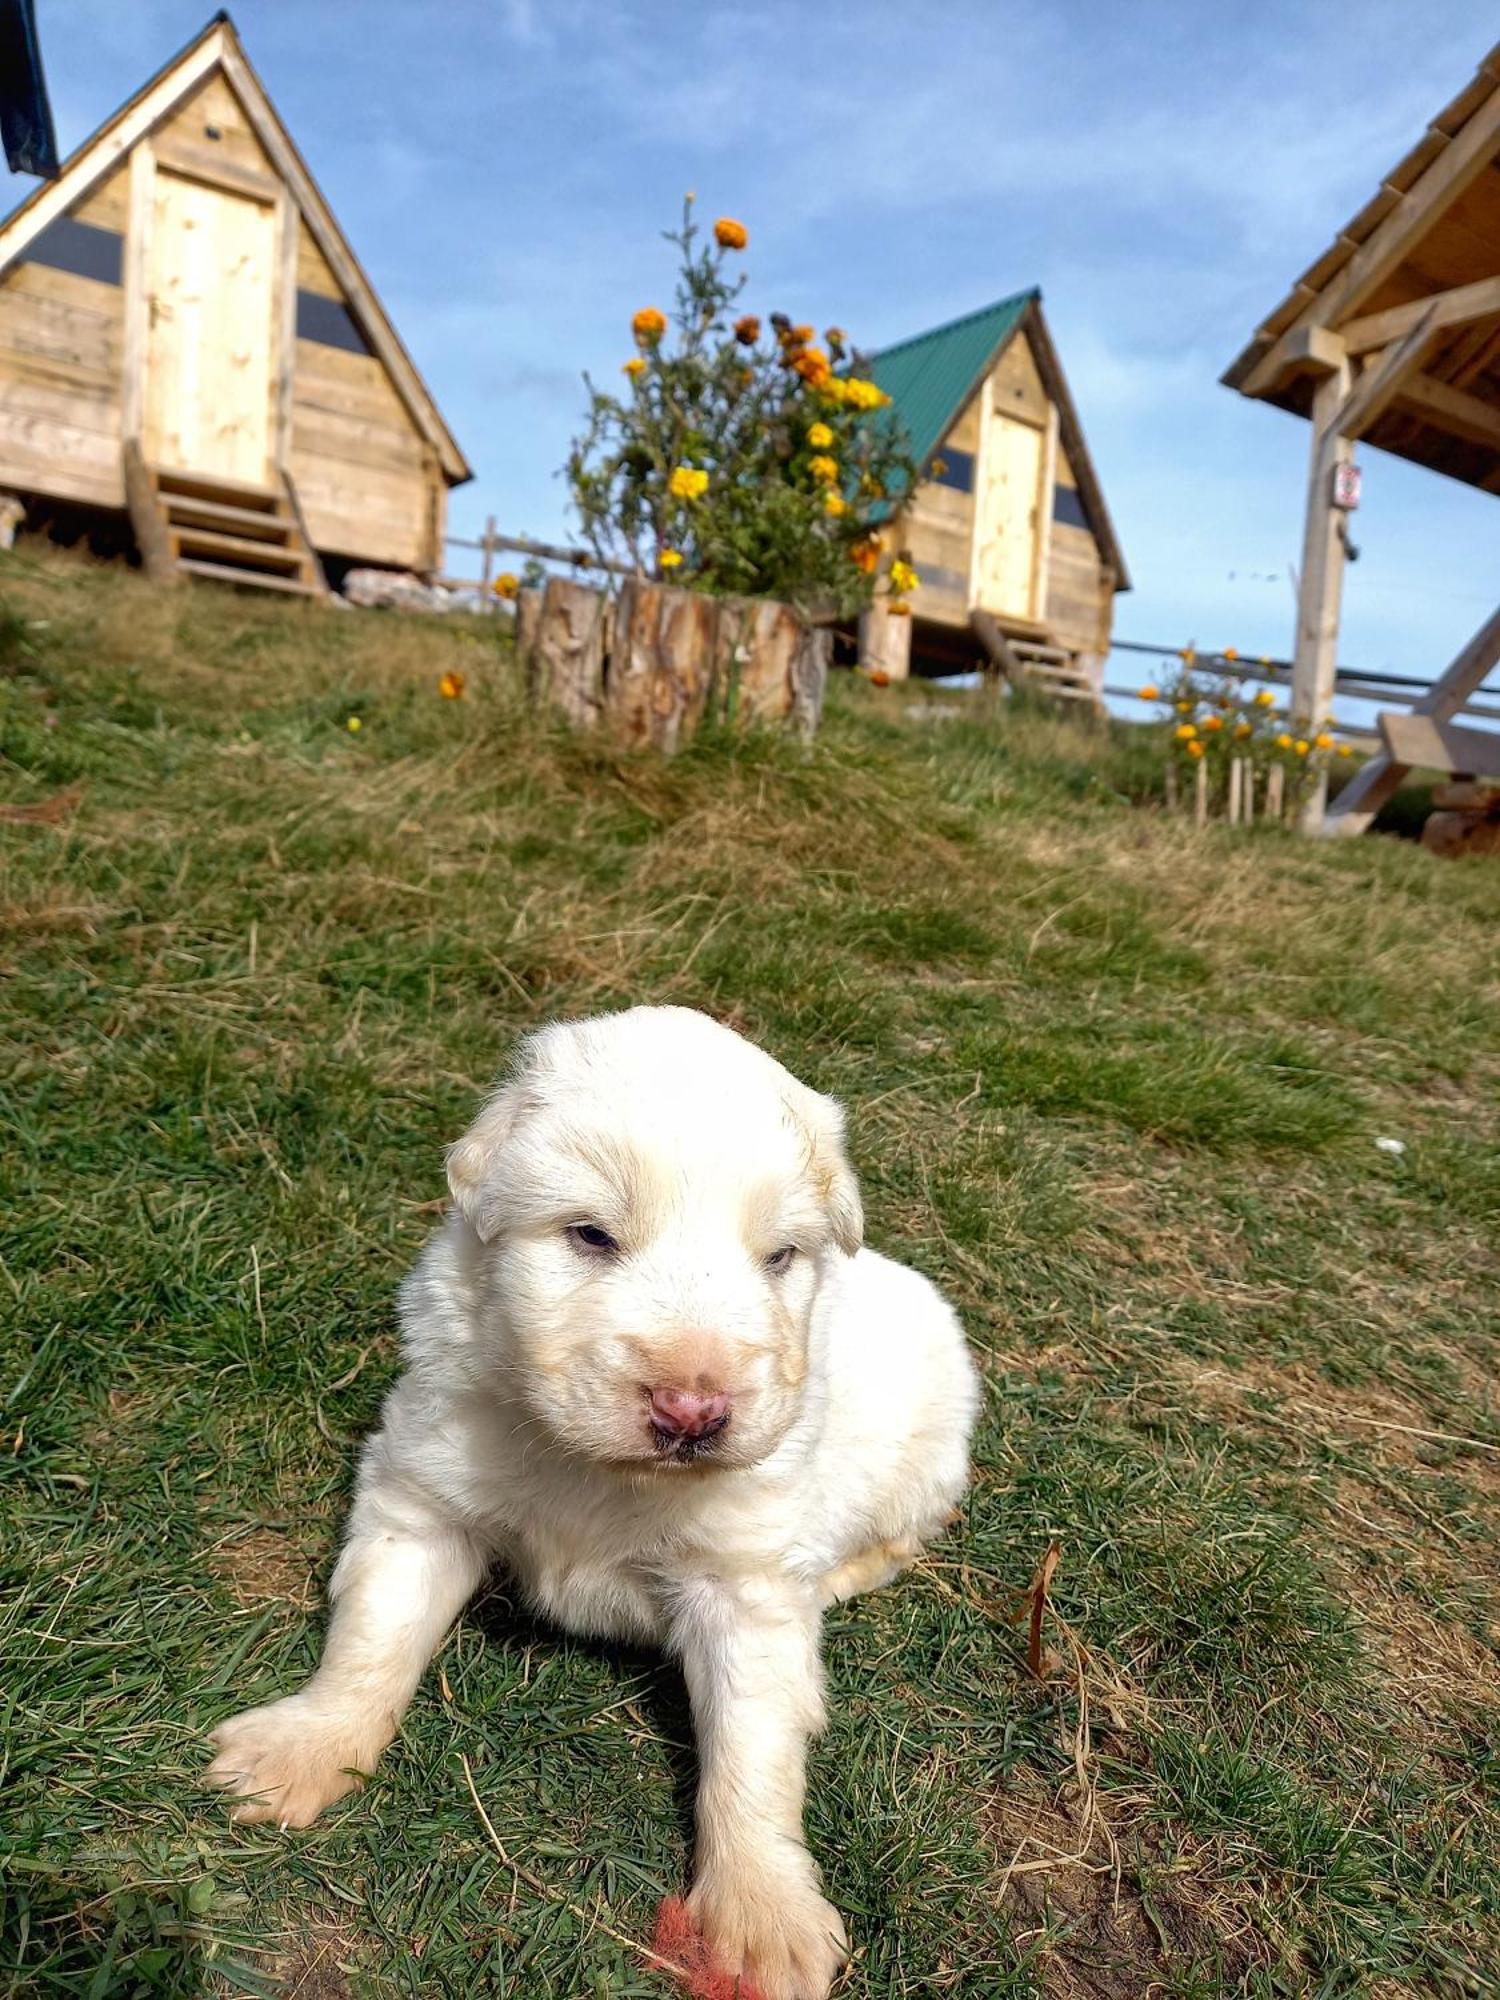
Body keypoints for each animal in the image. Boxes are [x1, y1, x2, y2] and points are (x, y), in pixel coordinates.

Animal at [209, 1008, 988, 2000]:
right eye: (589, 1236)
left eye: (780, 1256)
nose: (693, 1412)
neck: (601, 1471)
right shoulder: (424, 1491)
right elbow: (374, 1637)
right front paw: (300, 1750)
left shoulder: (748, 1585)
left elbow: (753, 1753)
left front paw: (762, 1919)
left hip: (932, 1448)